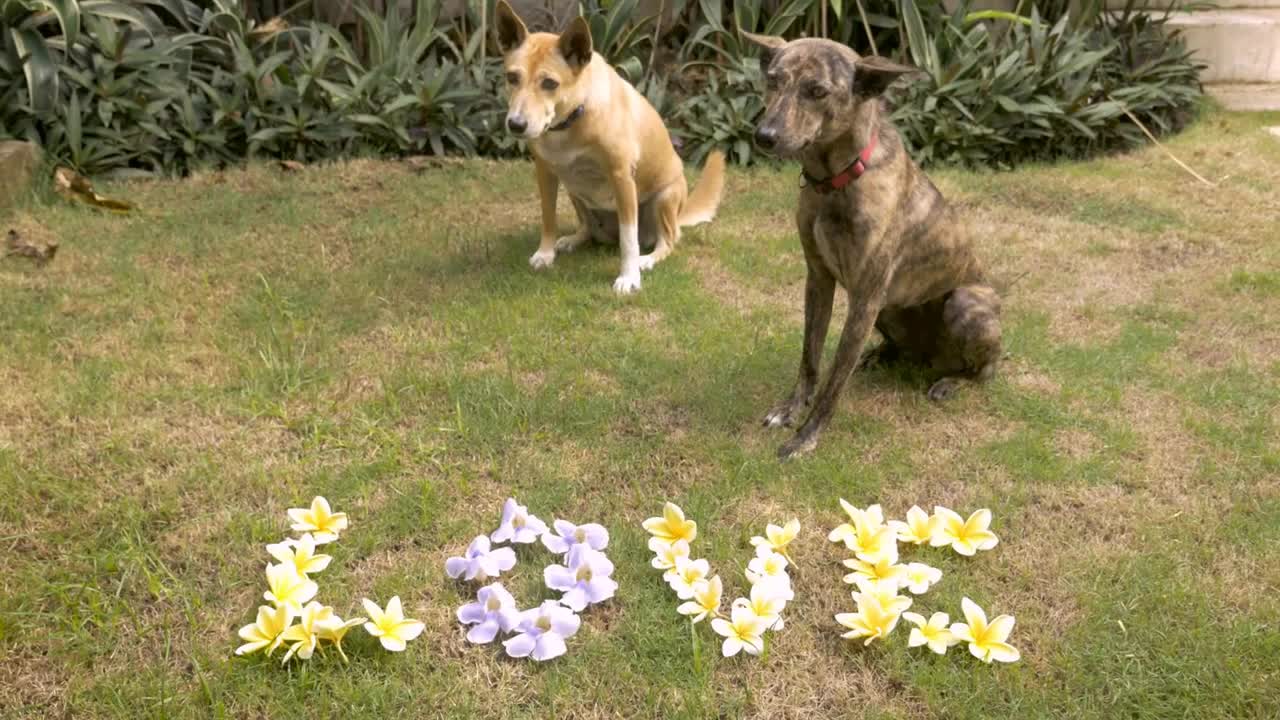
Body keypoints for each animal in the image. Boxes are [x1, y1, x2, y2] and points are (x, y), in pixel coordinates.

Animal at [494, 2, 727, 294]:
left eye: (549, 83)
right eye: (512, 77)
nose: (516, 124)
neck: (572, 120)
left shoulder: (621, 178)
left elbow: (628, 240)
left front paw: (629, 277)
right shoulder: (545, 172)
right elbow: (549, 216)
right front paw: (545, 254)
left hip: (663, 199)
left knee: (668, 240)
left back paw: (647, 259)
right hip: (575, 191)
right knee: (588, 228)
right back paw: (572, 239)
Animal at [747, 33, 1003, 456]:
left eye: (817, 91)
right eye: (772, 80)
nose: (763, 136)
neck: (835, 181)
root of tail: (930, 359)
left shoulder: (864, 297)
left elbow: (834, 381)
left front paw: (805, 438)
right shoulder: (819, 280)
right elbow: (810, 358)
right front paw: (789, 410)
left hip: (963, 306)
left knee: (984, 371)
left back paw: (951, 382)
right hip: (888, 309)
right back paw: (880, 355)